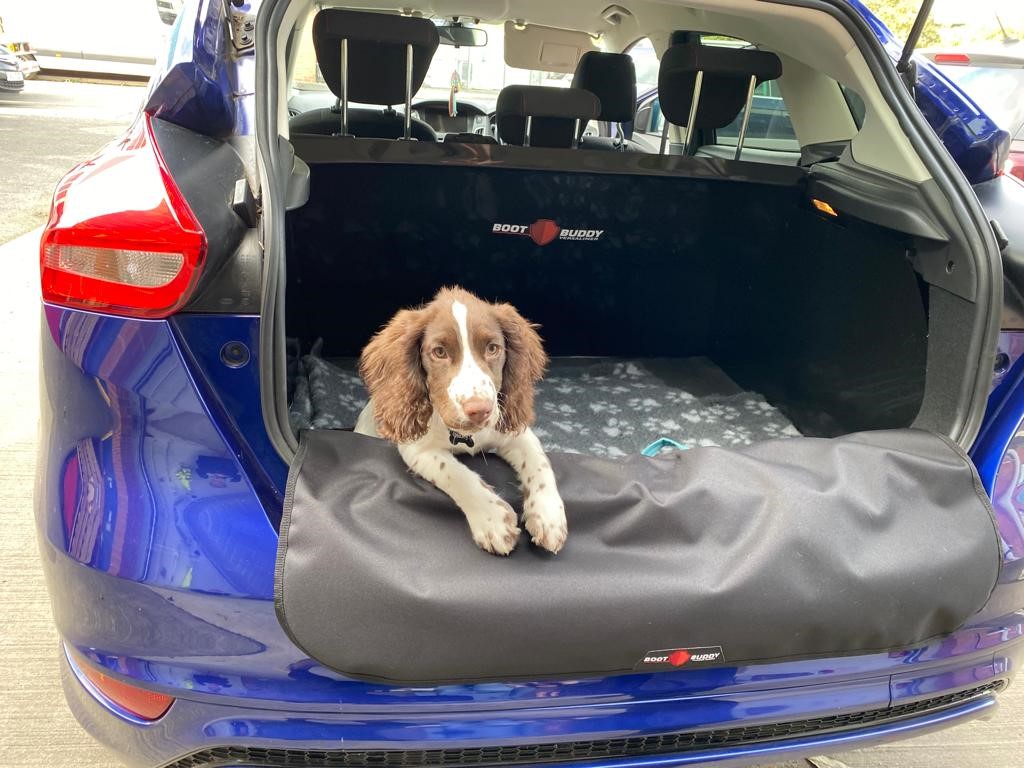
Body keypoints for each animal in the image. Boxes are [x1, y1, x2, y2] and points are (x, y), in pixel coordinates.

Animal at [356, 286, 569, 557]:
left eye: (492, 348)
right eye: (439, 352)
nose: (480, 410)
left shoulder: (514, 431)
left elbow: (539, 462)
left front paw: (549, 517)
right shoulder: (417, 449)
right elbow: (456, 474)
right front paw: (494, 520)